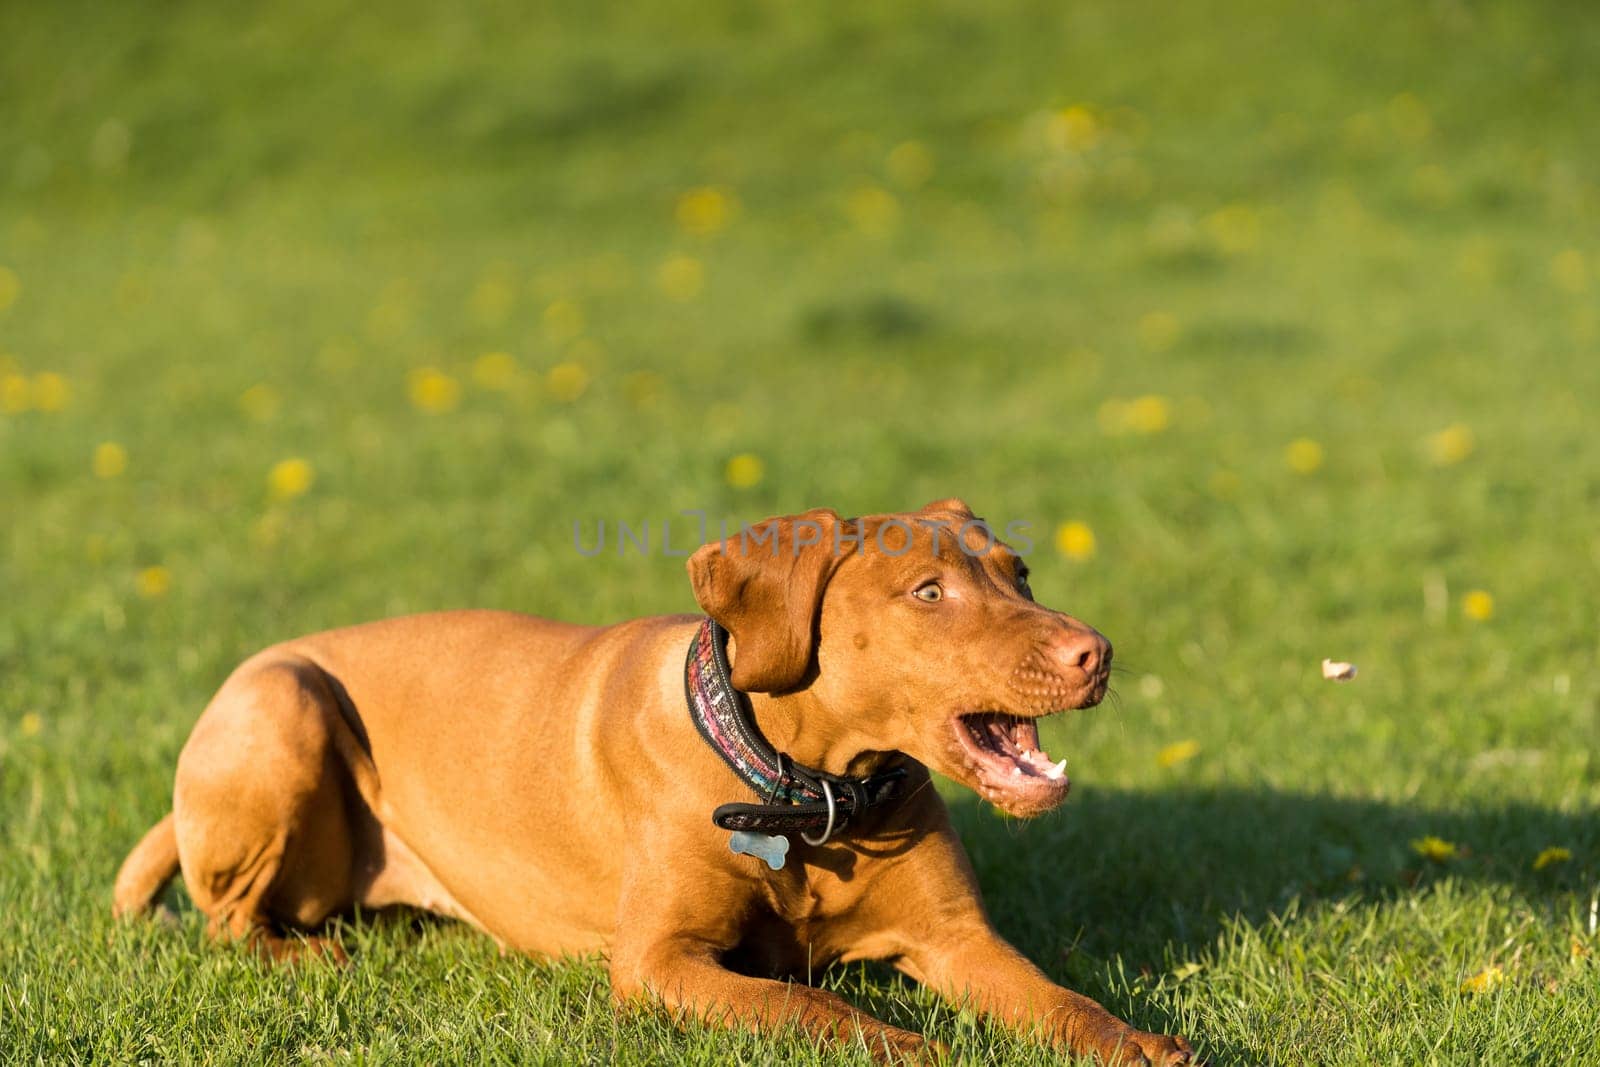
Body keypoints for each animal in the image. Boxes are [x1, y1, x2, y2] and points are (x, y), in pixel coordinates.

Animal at [116, 502, 1190, 1067]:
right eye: (929, 592)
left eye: (1020, 571)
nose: (1095, 652)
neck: (808, 800)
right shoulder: (661, 961)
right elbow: (809, 1008)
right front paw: (907, 1045)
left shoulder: (957, 937)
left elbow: (1061, 998)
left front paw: (1136, 1041)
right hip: (282, 698)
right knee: (226, 919)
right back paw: (303, 954)